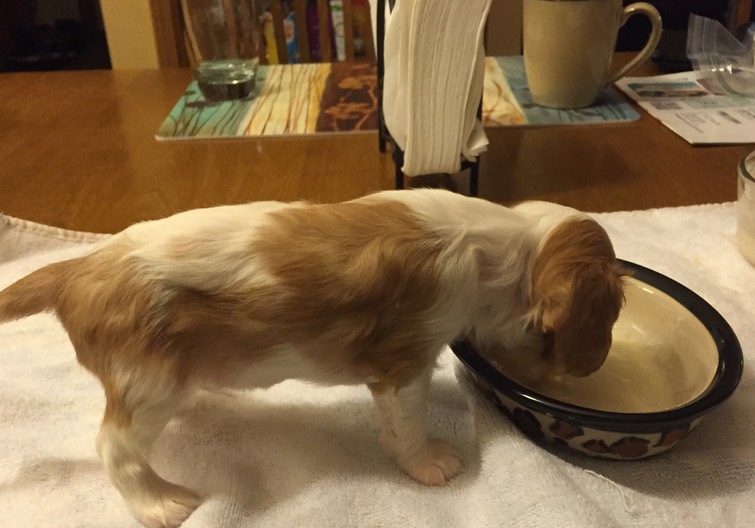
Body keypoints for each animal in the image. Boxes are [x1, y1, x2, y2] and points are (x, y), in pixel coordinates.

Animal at [0, 190, 628, 528]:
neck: (502, 244)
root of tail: (76, 269)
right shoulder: (403, 362)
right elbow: (409, 424)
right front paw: (427, 463)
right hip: (148, 380)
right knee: (115, 446)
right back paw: (158, 503)